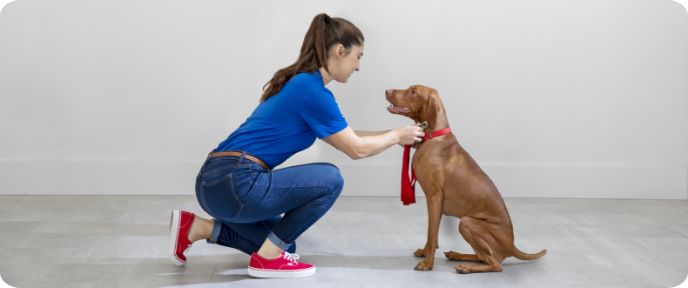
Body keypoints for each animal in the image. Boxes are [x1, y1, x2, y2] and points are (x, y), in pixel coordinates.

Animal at [384, 84, 544, 274]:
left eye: (414, 92)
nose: (387, 91)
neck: (435, 136)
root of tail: (512, 246)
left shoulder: (434, 197)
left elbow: (432, 234)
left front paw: (427, 263)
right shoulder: (436, 204)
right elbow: (433, 236)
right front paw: (425, 252)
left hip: (467, 222)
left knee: (495, 264)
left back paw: (466, 267)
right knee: (483, 257)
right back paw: (458, 255)